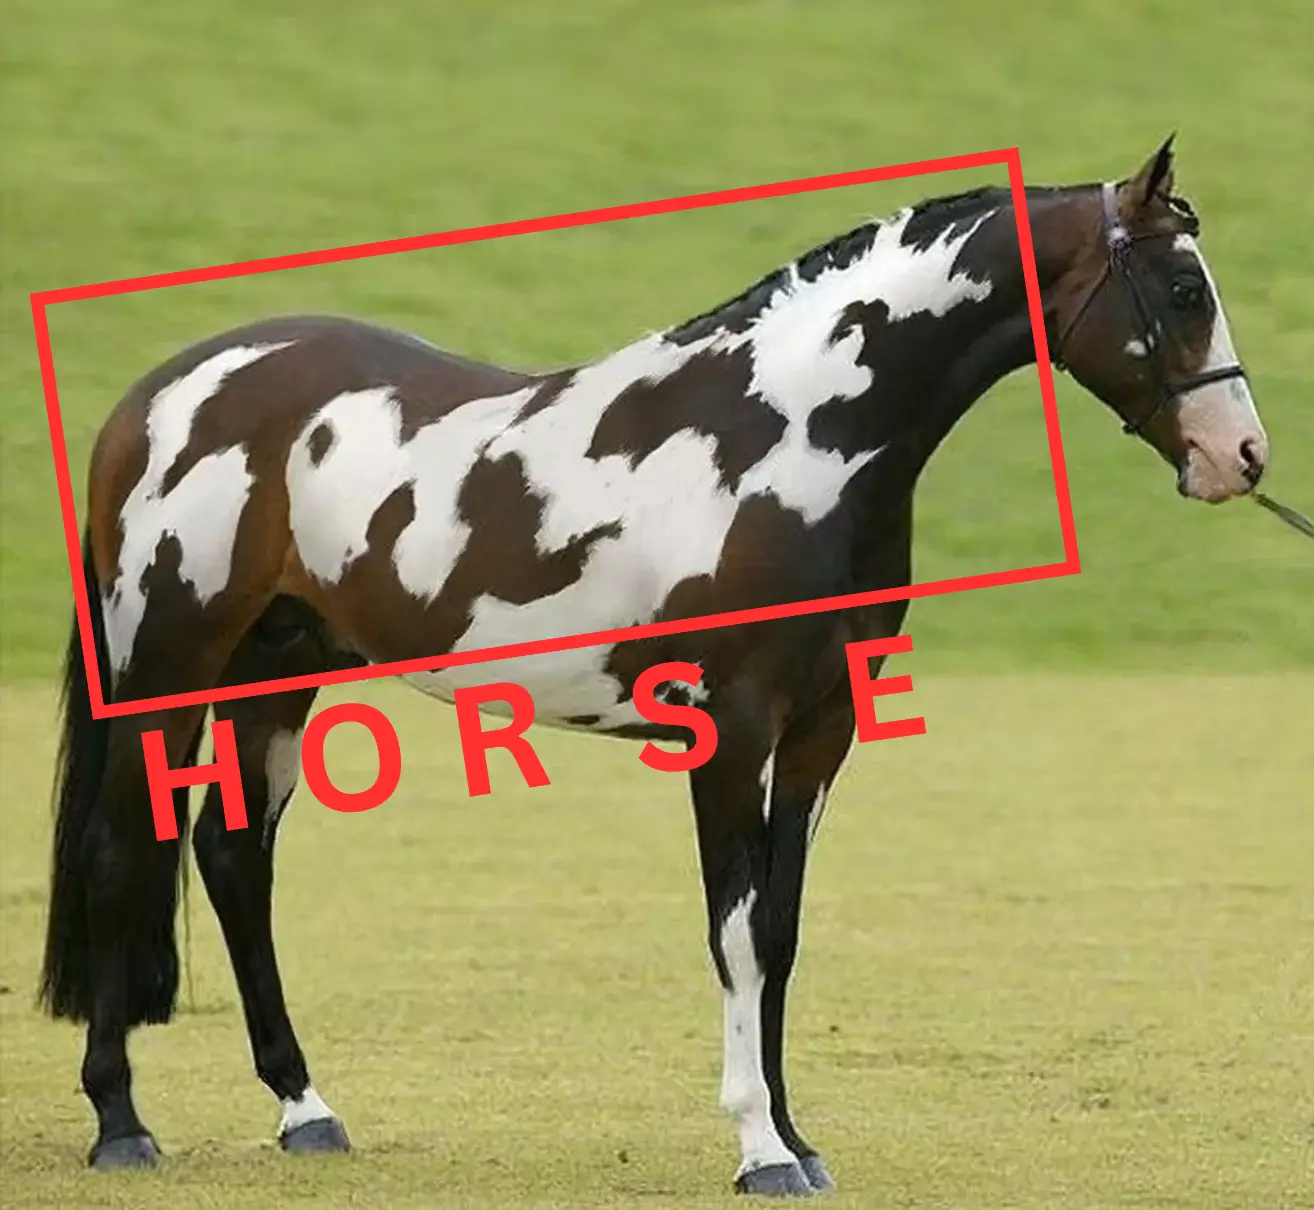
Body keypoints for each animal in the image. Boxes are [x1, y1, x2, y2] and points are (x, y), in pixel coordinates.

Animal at [39, 136, 1269, 1197]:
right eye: (1183, 289)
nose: (1243, 457)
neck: (791, 438)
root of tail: (157, 396)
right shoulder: (731, 729)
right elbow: (733, 931)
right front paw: (759, 1150)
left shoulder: (822, 731)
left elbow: (779, 932)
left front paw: (797, 1138)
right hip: (163, 667)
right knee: (117, 850)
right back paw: (122, 1125)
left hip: (279, 673)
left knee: (233, 857)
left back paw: (306, 1110)